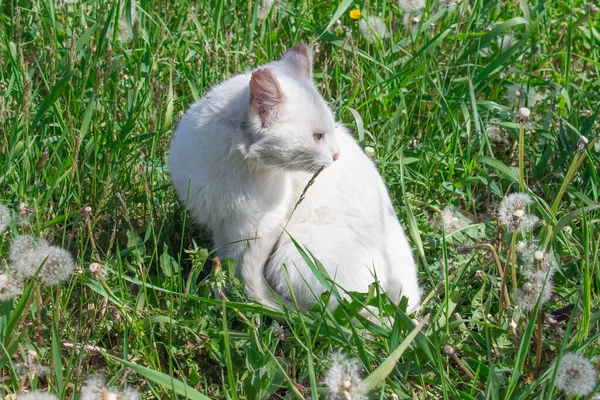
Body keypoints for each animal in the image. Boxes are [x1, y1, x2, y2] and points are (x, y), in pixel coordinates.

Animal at [168, 43, 422, 312]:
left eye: (330, 130)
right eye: (318, 136)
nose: (336, 155)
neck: (229, 164)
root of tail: (400, 309)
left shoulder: (252, 228)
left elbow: (234, 267)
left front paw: (222, 298)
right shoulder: (221, 223)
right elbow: (223, 260)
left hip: (294, 252)